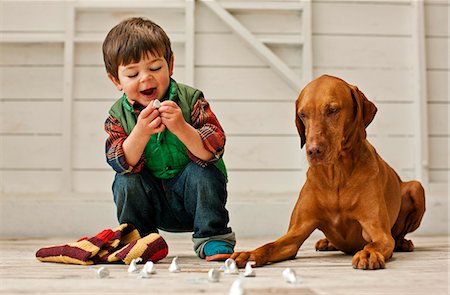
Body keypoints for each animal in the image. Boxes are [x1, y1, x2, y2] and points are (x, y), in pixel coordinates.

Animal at [232, 74, 426, 270]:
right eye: (302, 114)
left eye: (332, 110)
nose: (313, 151)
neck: (336, 174)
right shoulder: (295, 233)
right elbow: (270, 245)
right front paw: (249, 254)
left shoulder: (378, 232)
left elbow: (374, 242)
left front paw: (368, 253)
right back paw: (327, 242)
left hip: (416, 187)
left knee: (398, 234)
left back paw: (402, 243)